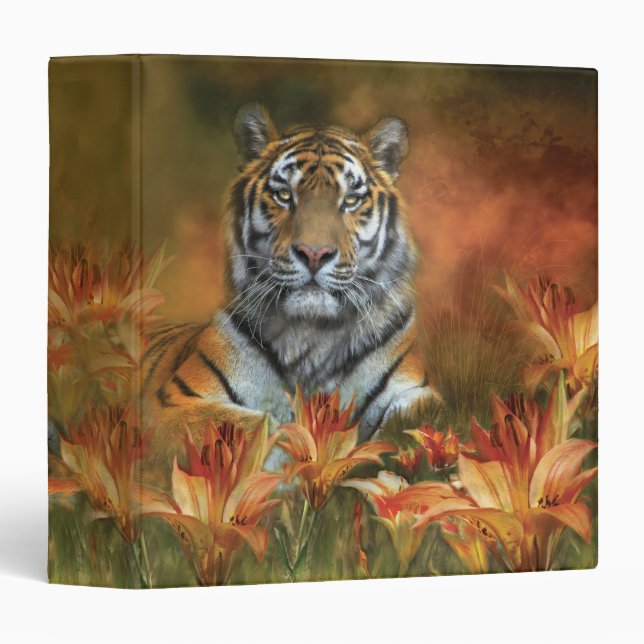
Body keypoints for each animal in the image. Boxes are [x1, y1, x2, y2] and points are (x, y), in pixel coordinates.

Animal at [142, 104, 437, 474]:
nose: (314, 253)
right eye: (285, 196)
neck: (314, 335)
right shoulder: (173, 404)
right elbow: (263, 425)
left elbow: (412, 425)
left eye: (350, 200)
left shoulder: (417, 392)